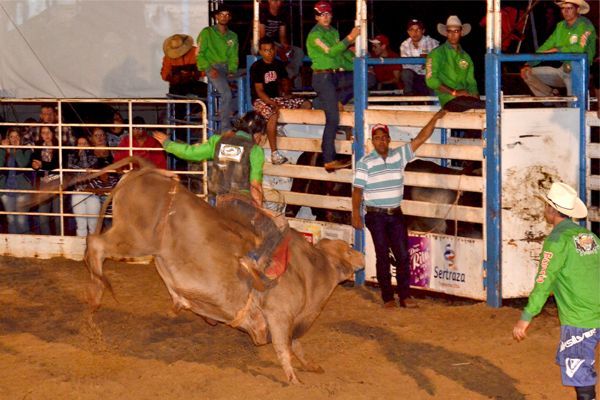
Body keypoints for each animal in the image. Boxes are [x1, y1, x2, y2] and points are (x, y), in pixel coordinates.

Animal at [69, 157, 366, 384]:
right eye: (348, 249)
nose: (362, 257)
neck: (310, 270)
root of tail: (146, 171)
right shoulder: (280, 315)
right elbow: (285, 348)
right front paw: (294, 379)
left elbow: (296, 345)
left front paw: (312, 365)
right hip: (136, 238)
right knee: (95, 245)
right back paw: (96, 296)